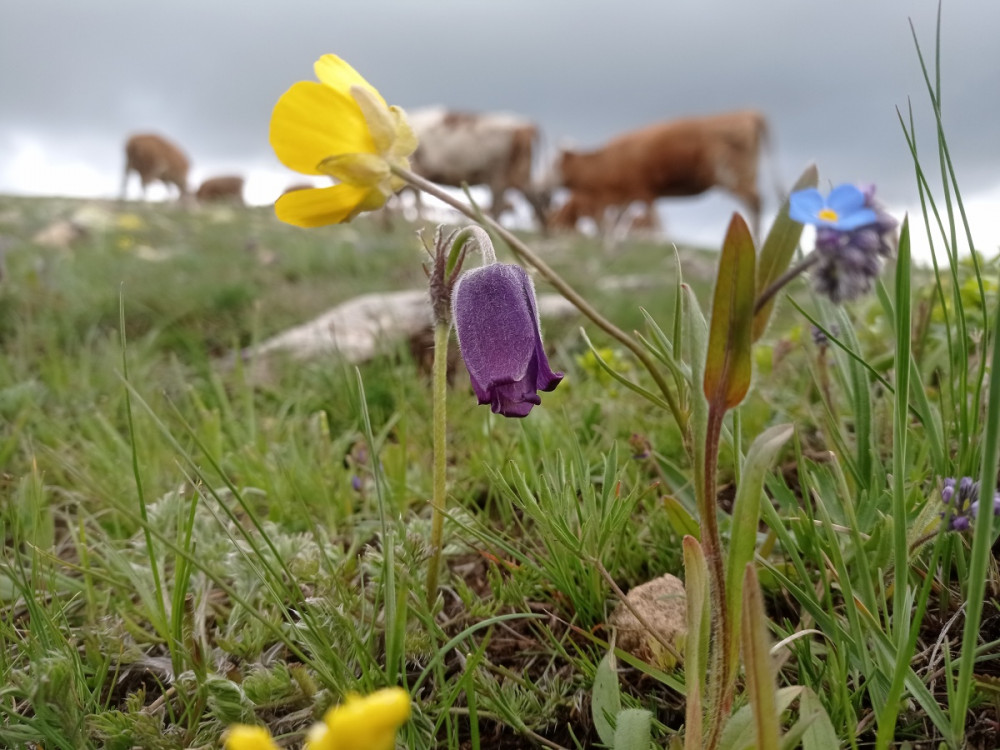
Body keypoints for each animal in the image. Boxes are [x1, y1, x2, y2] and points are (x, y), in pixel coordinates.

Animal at [402, 107, 552, 228]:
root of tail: (526, 125)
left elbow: (417, 199)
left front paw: (418, 222)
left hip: (499, 174)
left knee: (501, 205)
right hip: (517, 175)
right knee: (531, 200)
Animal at [552, 109, 768, 235]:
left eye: (554, 165)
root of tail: (751, 114)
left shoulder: (642, 192)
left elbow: (657, 227)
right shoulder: (627, 198)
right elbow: (614, 227)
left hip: (734, 176)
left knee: (755, 203)